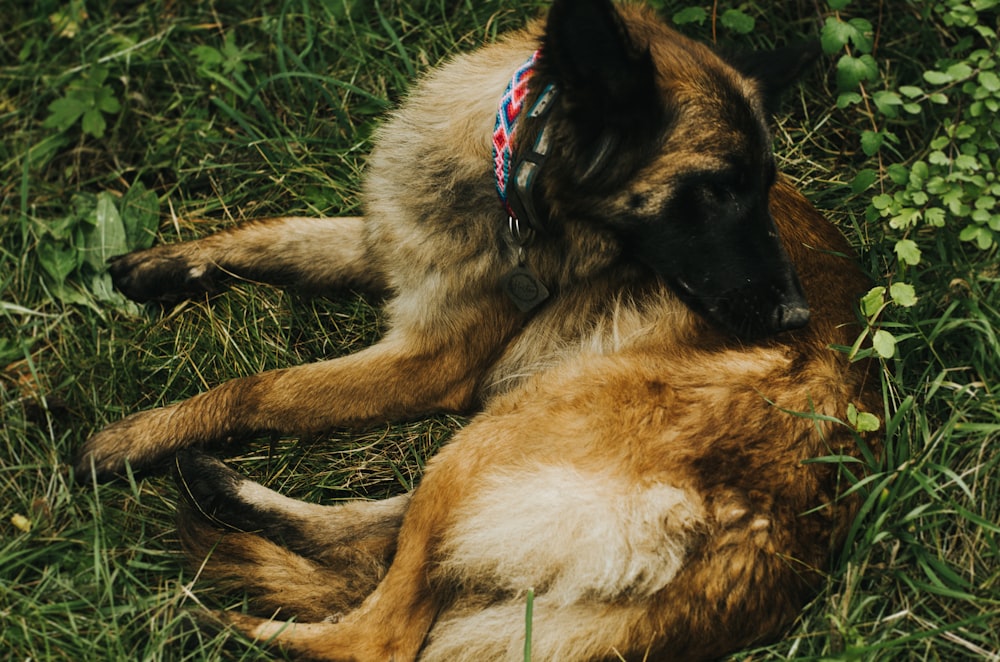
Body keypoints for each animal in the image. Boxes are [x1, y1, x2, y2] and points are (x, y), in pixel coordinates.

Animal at [78, 0, 880, 660]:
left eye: (758, 188)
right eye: (715, 190)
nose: (794, 318)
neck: (508, 177)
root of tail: (761, 550)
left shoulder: (426, 361)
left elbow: (261, 389)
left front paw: (137, 436)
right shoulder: (392, 246)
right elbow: (279, 235)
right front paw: (163, 266)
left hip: (501, 434)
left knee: (381, 633)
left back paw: (210, 617)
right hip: (496, 454)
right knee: (385, 541)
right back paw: (219, 491)